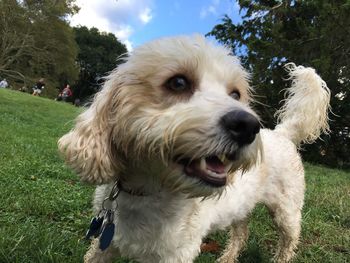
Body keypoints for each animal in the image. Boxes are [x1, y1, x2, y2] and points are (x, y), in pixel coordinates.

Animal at [59, 35, 330, 263]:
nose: (248, 126)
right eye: (178, 82)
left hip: (286, 211)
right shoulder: (104, 244)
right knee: (241, 232)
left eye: (235, 94)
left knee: (288, 240)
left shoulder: (176, 254)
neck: (148, 191)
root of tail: (282, 132)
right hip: (242, 207)